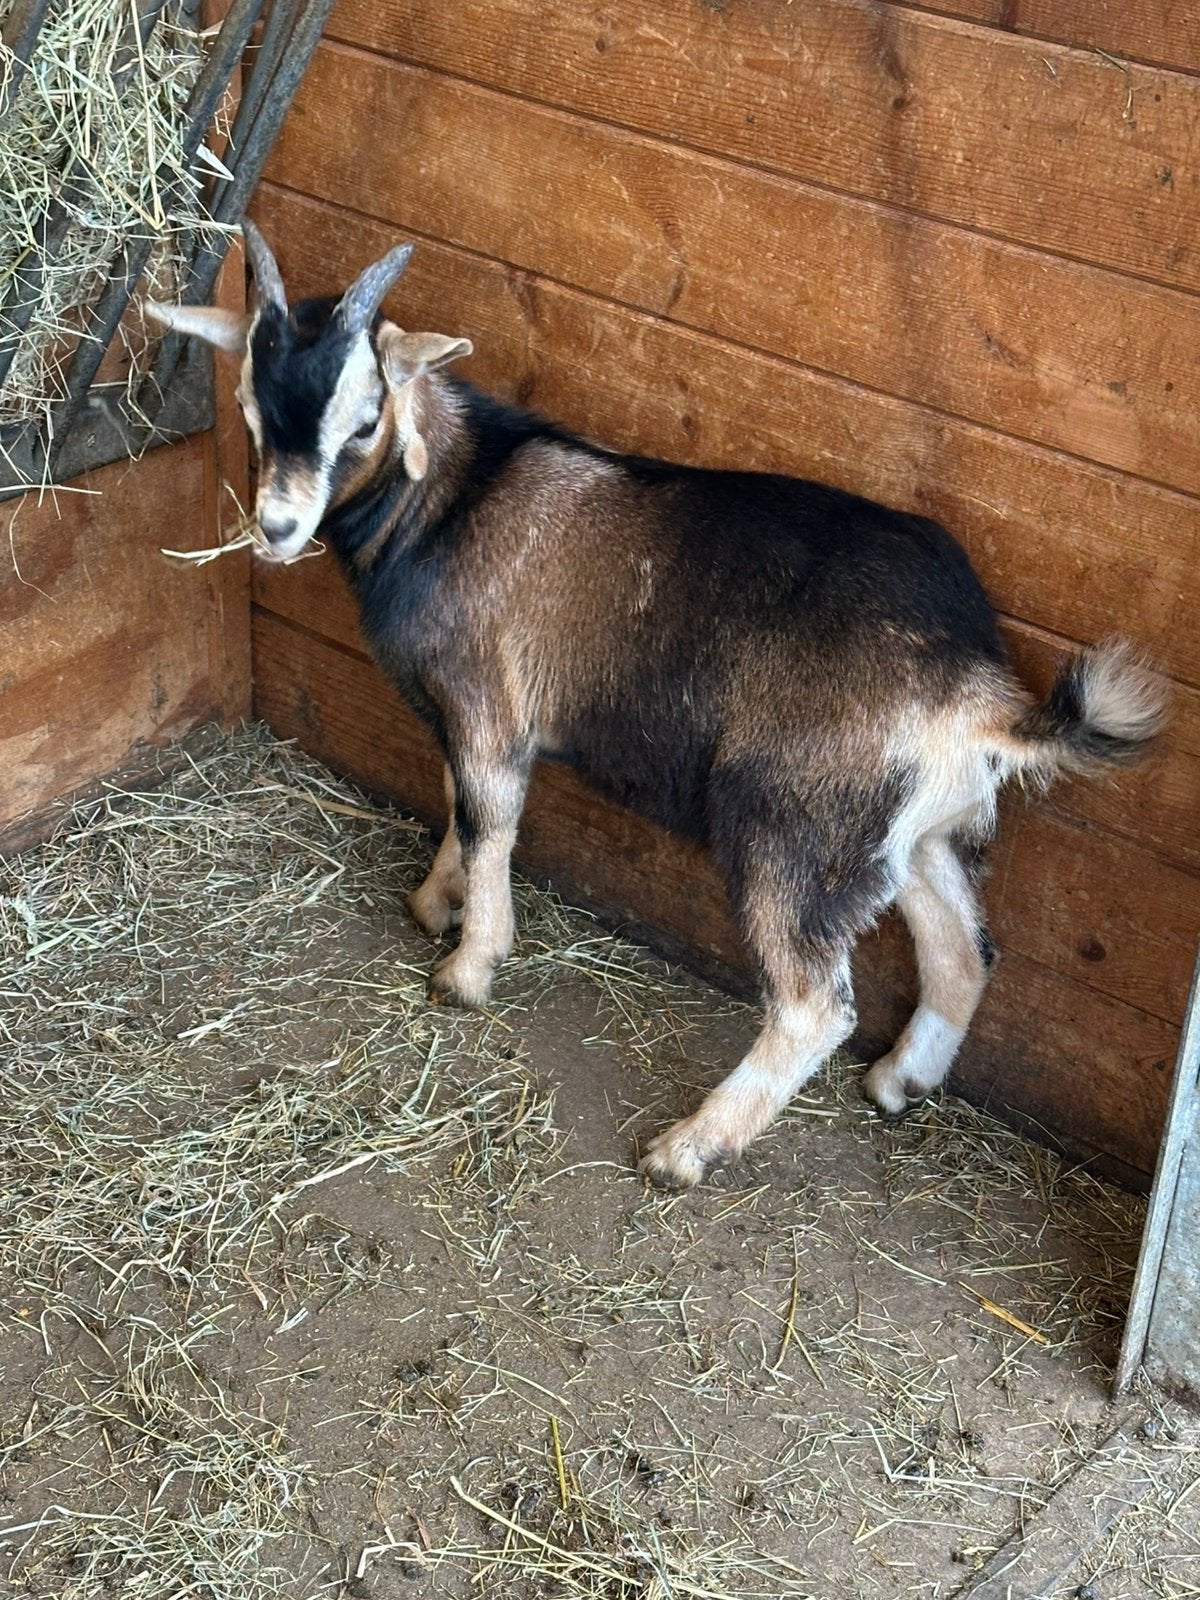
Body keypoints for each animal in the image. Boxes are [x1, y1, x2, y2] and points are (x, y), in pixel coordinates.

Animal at [148, 223, 1168, 1189]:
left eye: (364, 421)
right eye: (249, 407)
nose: (277, 529)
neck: (457, 496)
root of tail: (980, 697)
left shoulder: (489, 704)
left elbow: (488, 819)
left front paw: (469, 965)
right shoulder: (469, 715)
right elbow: (457, 803)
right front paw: (436, 901)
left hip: (793, 825)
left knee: (815, 1003)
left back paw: (689, 1149)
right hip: (904, 833)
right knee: (964, 952)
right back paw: (897, 1083)